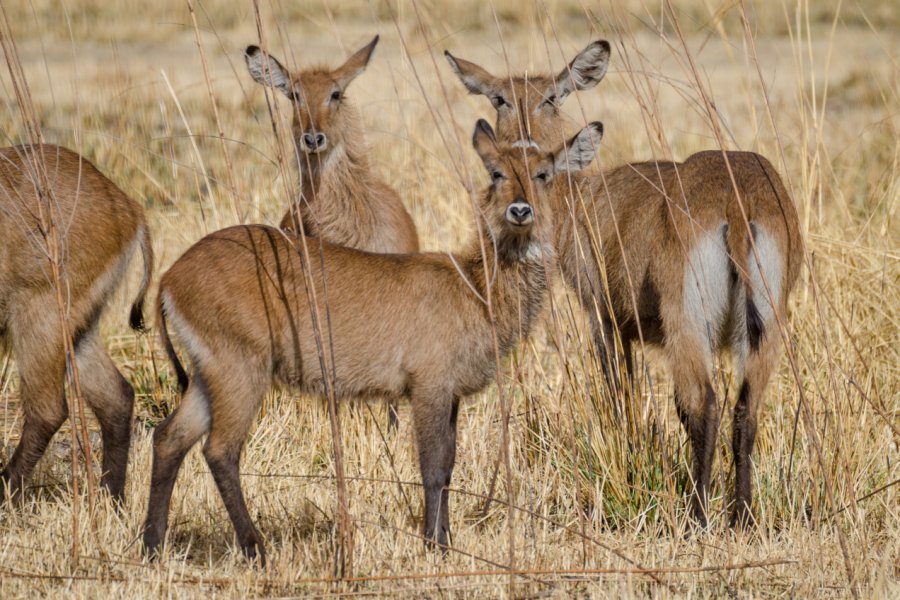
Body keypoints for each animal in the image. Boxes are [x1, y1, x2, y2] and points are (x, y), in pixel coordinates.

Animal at [141, 119, 604, 564]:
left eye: (543, 173)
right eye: (497, 172)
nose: (520, 210)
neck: (474, 286)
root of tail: (170, 277)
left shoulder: (450, 393)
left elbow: (450, 465)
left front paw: (446, 540)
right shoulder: (429, 386)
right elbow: (433, 465)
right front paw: (435, 546)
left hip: (209, 375)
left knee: (169, 438)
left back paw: (152, 546)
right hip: (240, 370)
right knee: (220, 450)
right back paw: (256, 549)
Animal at [446, 39, 804, 524]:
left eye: (550, 97)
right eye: (500, 98)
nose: (521, 141)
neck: (582, 193)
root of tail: (737, 199)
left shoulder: (604, 318)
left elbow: (621, 396)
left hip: (687, 322)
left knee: (704, 406)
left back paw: (697, 515)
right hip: (766, 325)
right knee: (745, 410)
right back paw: (743, 518)